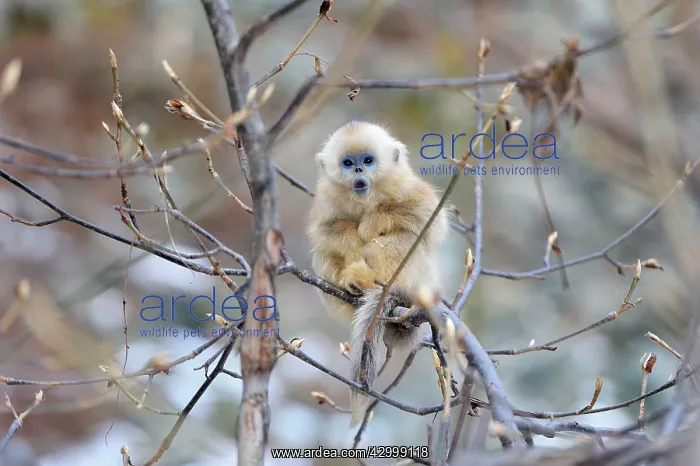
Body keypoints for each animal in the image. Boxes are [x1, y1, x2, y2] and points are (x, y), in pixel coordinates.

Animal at [306, 120, 448, 426]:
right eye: (348, 163)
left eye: (368, 160)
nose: (359, 170)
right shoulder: (326, 201)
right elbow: (327, 232)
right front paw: (352, 241)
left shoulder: (408, 187)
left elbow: (429, 220)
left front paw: (372, 222)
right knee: (323, 254)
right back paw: (355, 283)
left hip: (417, 281)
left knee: (401, 239)